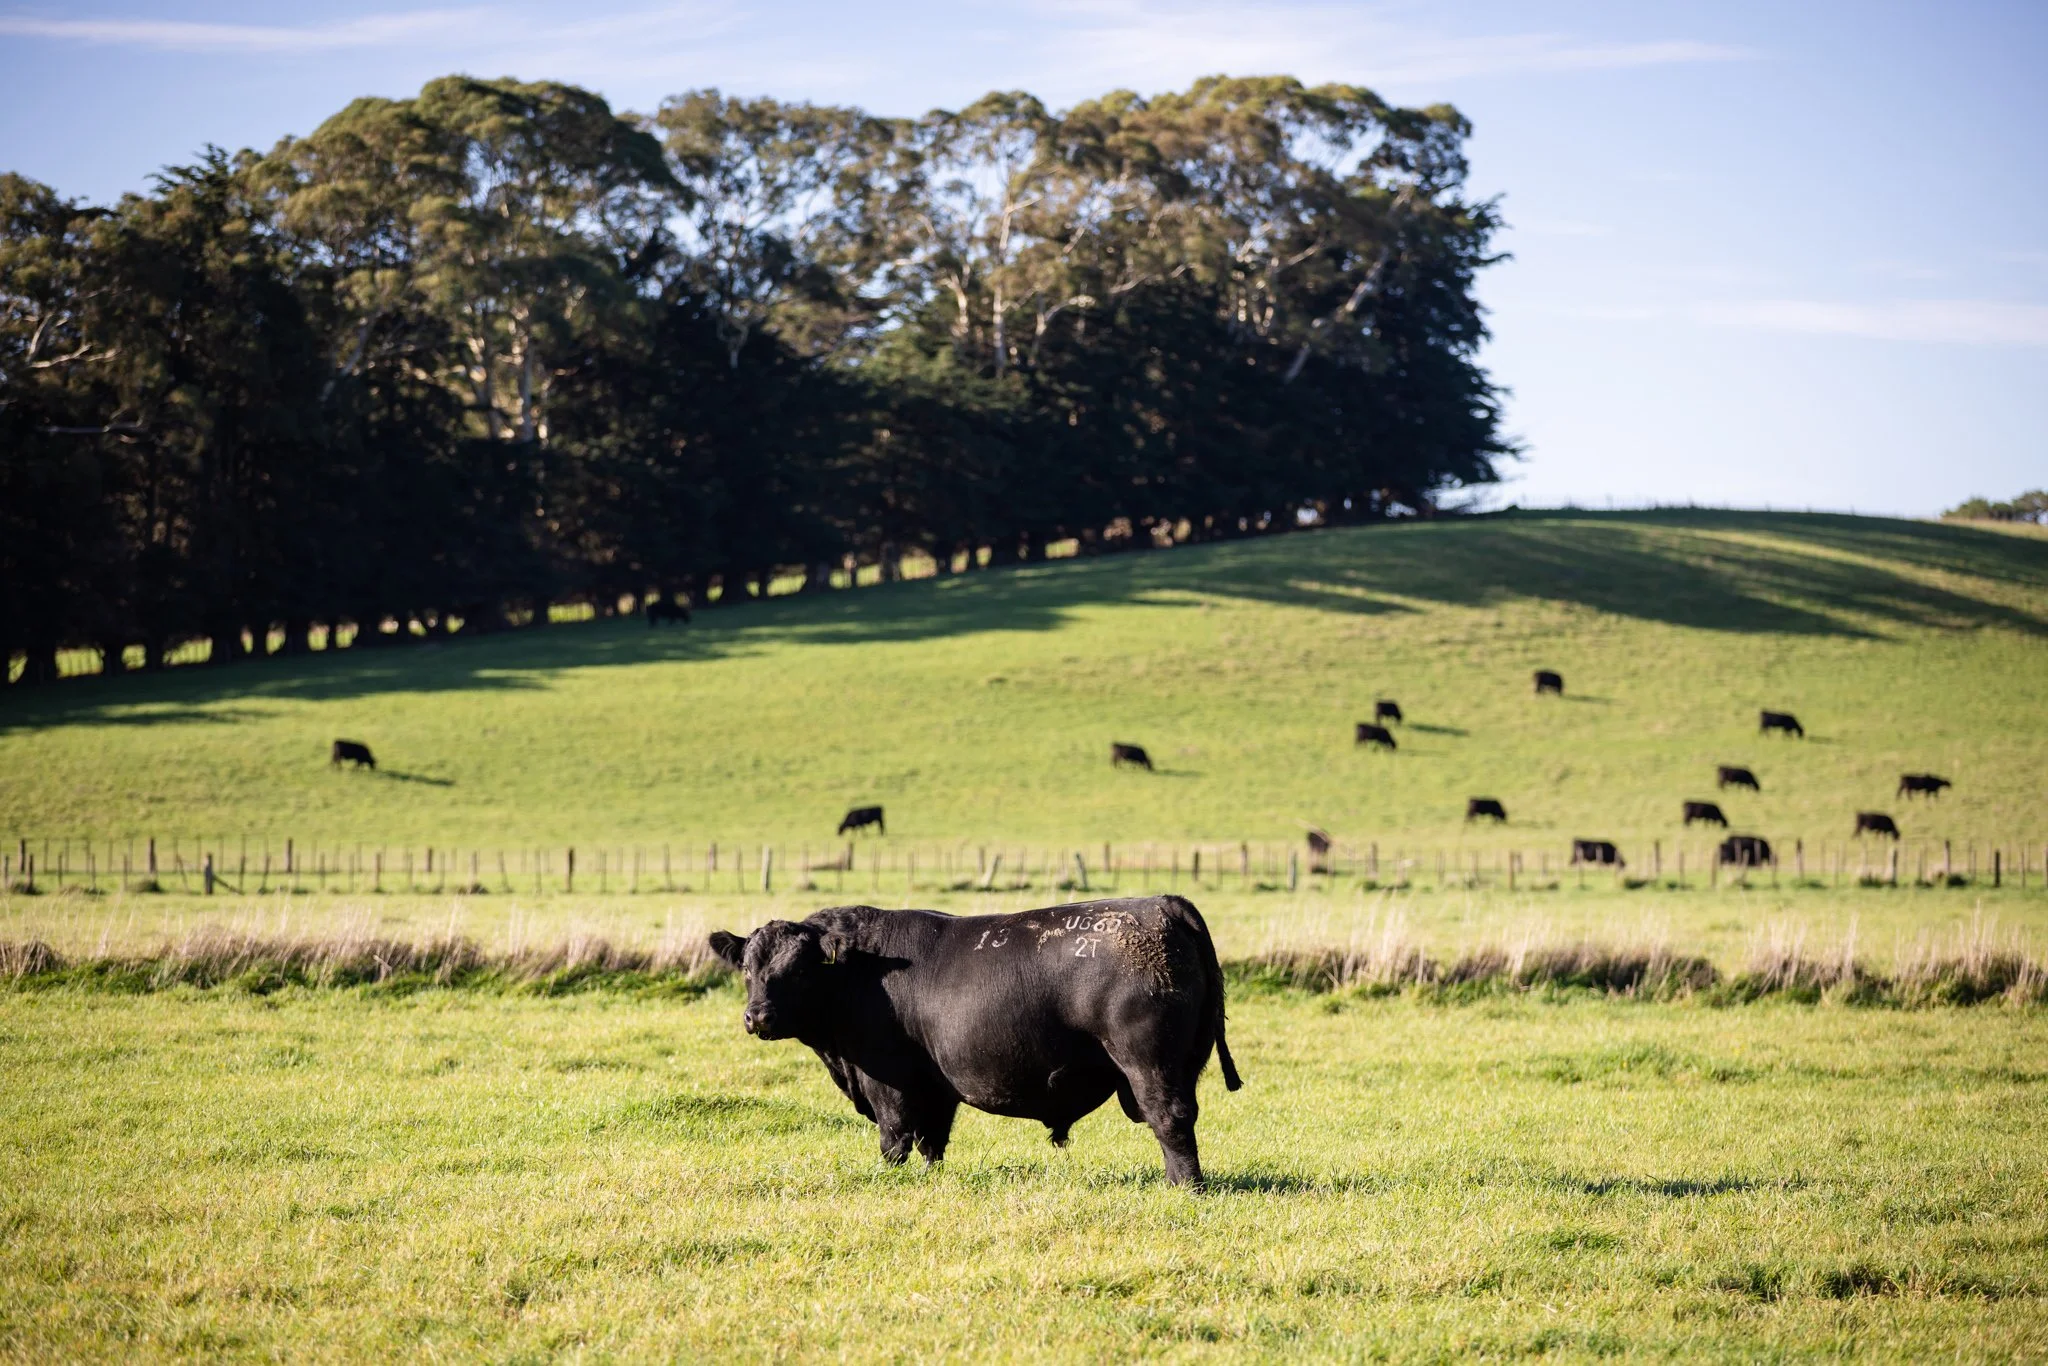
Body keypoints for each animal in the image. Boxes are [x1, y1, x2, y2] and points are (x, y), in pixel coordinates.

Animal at [707, 896, 1241, 1187]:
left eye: (798, 971)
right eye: (748, 969)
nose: (757, 1017)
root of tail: (1162, 903)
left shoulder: (888, 1082)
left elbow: (895, 1141)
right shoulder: (934, 1087)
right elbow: (932, 1142)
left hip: (1149, 1064)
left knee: (1170, 1120)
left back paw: (1185, 1187)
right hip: (1184, 1064)